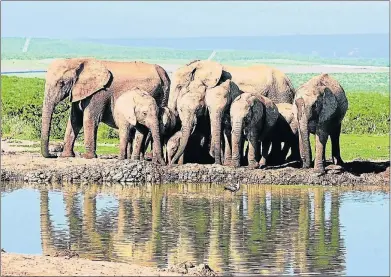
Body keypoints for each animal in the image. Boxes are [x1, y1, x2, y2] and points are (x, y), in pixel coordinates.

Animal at [40, 57, 171, 158]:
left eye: (61, 83)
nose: (52, 155)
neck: (77, 60)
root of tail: (162, 72)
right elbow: (75, 120)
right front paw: (66, 156)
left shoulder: (100, 92)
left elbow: (89, 118)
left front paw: (88, 157)